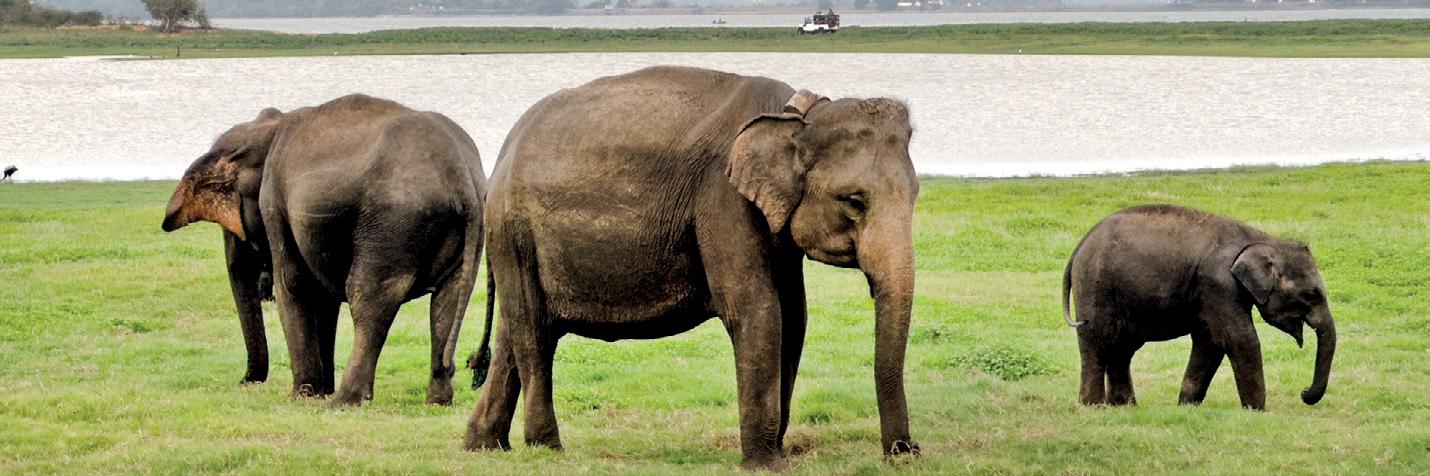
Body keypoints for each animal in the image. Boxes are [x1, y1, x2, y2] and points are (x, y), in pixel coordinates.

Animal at [161, 94, 487, 406]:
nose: (246, 381)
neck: (268, 129)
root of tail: (461, 178)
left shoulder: (274, 202)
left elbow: (294, 283)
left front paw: (303, 396)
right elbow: (324, 296)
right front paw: (320, 390)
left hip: (393, 223)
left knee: (369, 296)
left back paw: (344, 401)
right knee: (448, 299)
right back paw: (437, 401)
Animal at [462, 66, 920, 470]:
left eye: (916, 194)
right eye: (854, 200)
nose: (906, 452)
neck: (796, 115)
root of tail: (502, 155)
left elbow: (794, 317)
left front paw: (778, 453)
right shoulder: (722, 200)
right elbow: (758, 310)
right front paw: (765, 464)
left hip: (516, 241)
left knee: (514, 329)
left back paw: (483, 446)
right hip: (514, 231)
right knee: (533, 329)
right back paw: (547, 448)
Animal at [1062, 205, 1335, 410]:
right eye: (1311, 295)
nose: (1303, 393)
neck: (1261, 239)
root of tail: (1079, 247)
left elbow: (1210, 343)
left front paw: (1186, 406)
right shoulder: (1220, 285)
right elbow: (1240, 340)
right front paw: (1257, 411)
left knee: (1122, 349)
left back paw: (1125, 406)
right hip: (1095, 287)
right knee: (1096, 342)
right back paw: (1093, 406)